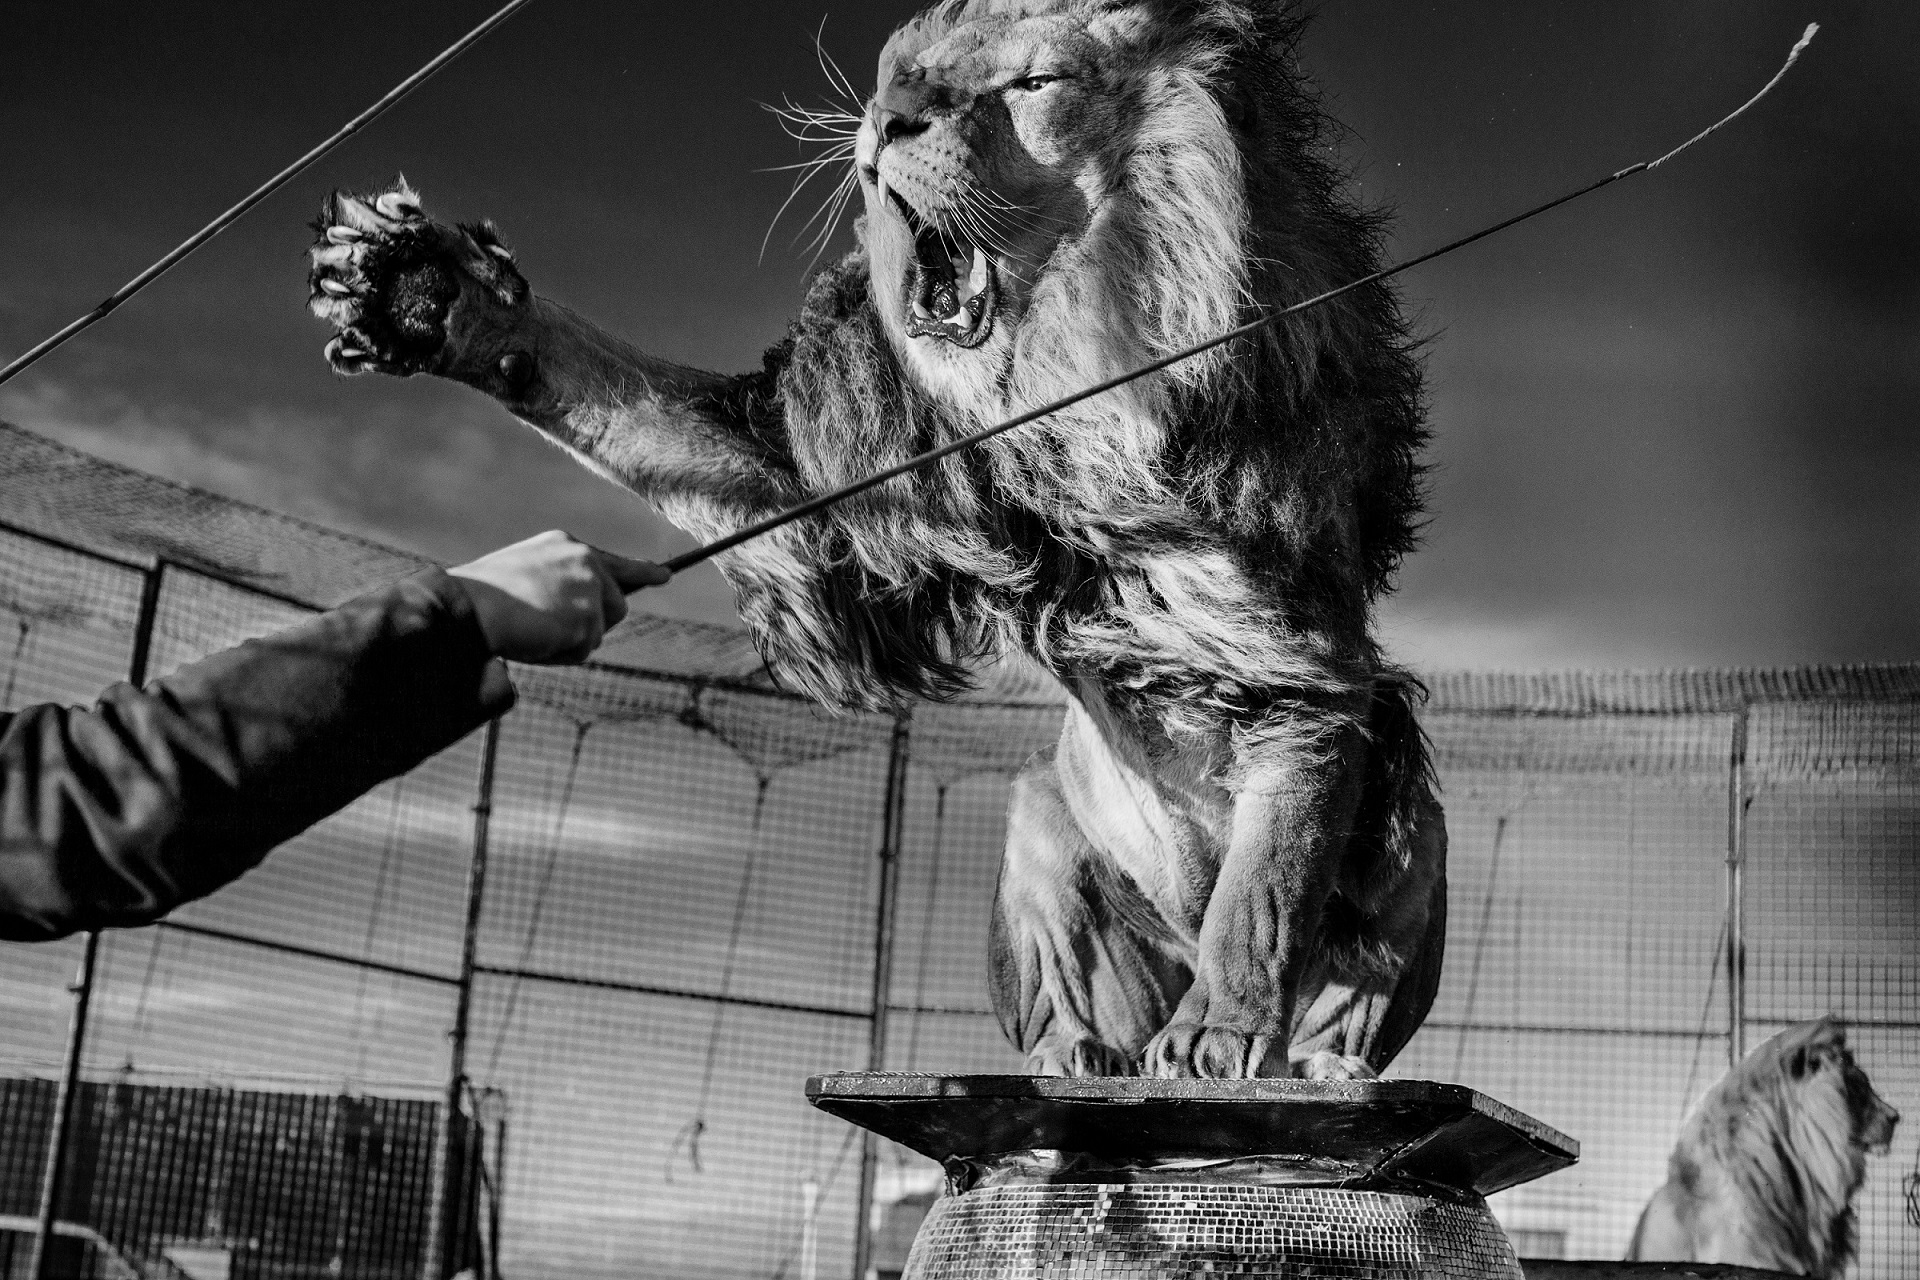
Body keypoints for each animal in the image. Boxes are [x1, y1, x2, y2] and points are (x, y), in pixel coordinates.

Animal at [305, 0, 1446, 1081]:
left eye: (1033, 82)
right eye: (902, 74)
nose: (885, 121)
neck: (1074, 384)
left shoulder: (1302, 667)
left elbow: (1263, 892)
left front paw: (1221, 1032)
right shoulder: (866, 501)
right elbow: (636, 403)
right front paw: (427, 291)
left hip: (1412, 810)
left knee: (1329, 970)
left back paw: (1318, 1059)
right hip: (1036, 818)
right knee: (1071, 992)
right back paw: (1075, 1052)